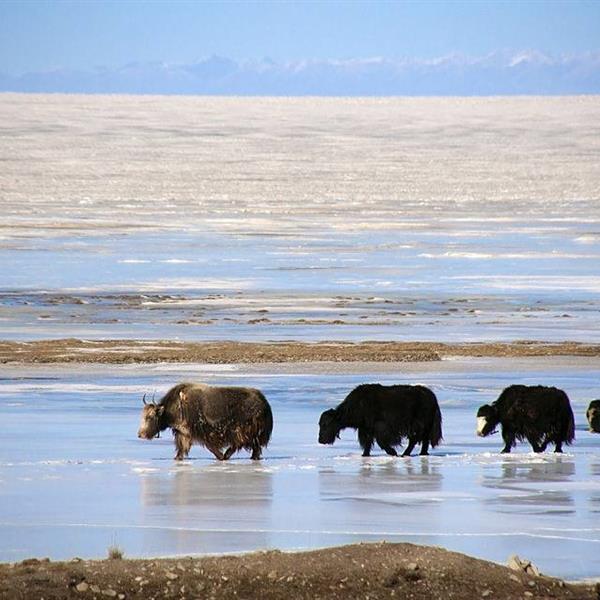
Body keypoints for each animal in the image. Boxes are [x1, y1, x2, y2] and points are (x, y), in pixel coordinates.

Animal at [137, 382, 273, 460]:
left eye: (150, 417)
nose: (140, 435)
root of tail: (264, 401)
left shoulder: (202, 431)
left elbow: (210, 446)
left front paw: (220, 456)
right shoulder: (183, 433)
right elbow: (181, 447)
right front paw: (177, 458)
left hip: (246, 430)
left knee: (242, 444)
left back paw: (228, 455)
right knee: (253, 447)